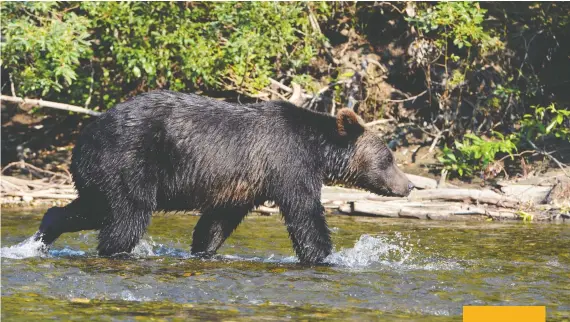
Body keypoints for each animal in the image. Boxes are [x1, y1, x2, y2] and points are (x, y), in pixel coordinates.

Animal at [33, 90, 410, 264]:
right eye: (389, 158)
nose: (408, 185)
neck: (316, 149)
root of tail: (81, 137)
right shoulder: (288, 163)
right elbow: (305, 214)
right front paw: (327, 257)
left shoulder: (243, 184)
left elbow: (216, 222)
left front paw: (204, 250)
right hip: (127, 162)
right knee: (126, 216)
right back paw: (115, 250)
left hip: (100, 174)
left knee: (88, 209)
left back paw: (43, 234)